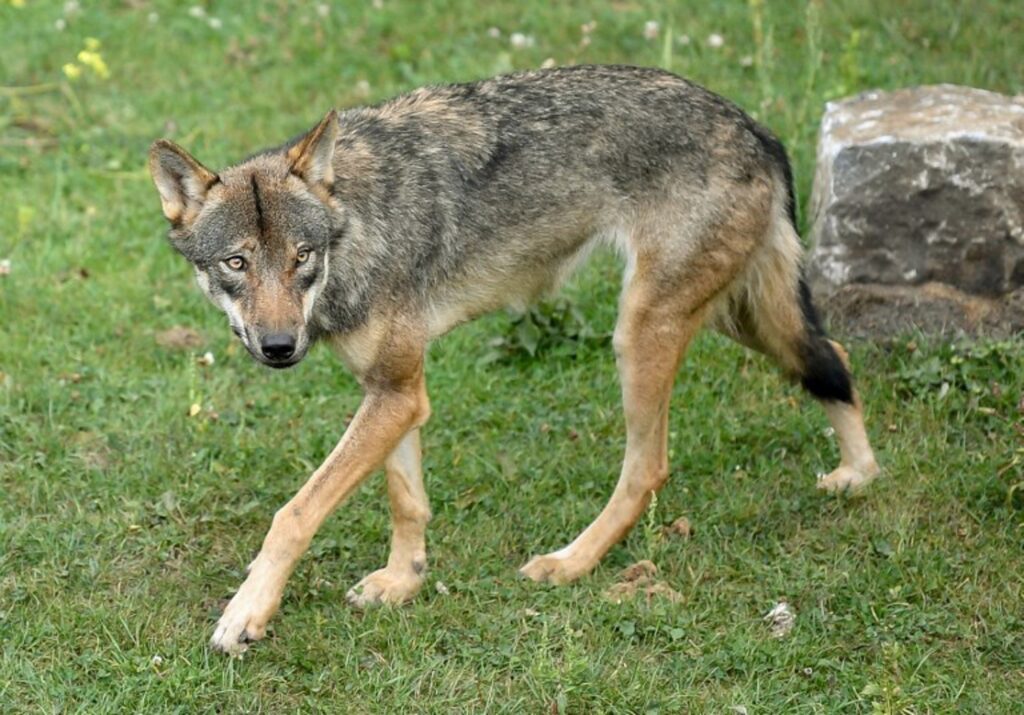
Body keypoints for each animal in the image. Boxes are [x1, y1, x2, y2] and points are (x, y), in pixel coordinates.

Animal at [148, 65, 879, 654]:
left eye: (301, 256)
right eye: (236, 264)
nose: (279, 347)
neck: (354, 224)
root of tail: (757, 127)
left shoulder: (396, 395)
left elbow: (294, 513)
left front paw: (247, 614)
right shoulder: (394, 390)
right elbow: (406, 501)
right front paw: (403, 582)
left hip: (643, 331)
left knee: (648, 468)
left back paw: (569, 563)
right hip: (738, 317)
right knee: (833, 354)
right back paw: (858, 474)